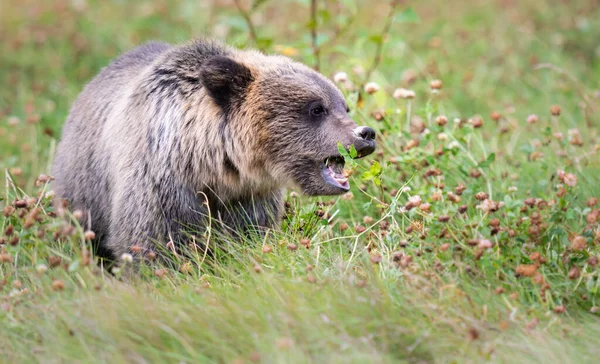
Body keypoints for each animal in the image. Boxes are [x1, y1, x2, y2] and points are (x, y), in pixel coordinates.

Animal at [54, 39, 378, 258]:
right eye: (316, 108)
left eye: (344, 106)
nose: (366, 134)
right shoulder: (160, 185)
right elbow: (150, 243)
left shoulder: (249, 198)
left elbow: (250, 234)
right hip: (84, 194)